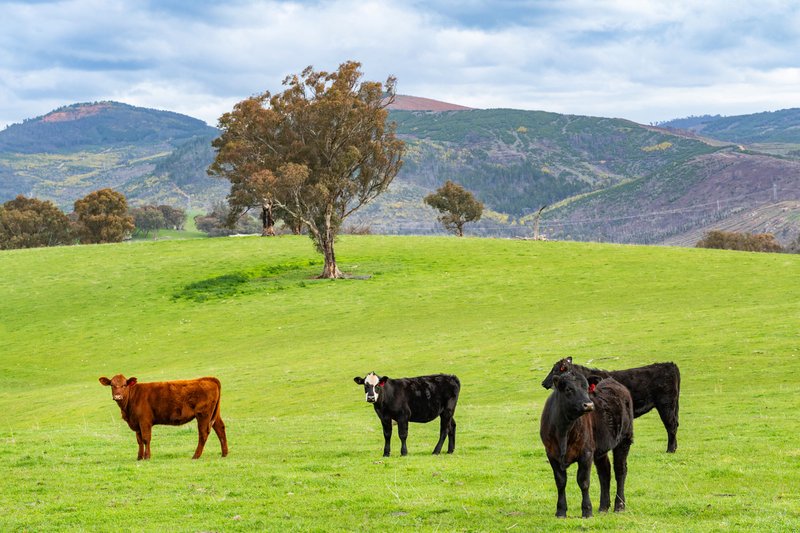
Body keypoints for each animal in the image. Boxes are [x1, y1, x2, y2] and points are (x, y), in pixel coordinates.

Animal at [99, 374, 228, 458]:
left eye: (125, 385)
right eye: (112, 385)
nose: (118, 396)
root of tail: (208, 378)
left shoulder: (144, 421)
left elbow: (146, 439)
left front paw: (147, 457)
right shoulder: (136, 423)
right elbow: (139, 440)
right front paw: (139, 457)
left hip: (203, 415)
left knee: (203, 433)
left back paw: (195, 456)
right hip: (214, 414)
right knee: (220, 429)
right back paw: (224, 453)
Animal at [540, 356, 680, 450]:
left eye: (555, 370)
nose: (543, 383)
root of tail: (670, 365)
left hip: (666, 405)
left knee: (671, 425)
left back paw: (670, 450)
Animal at [540, 372, 636, 516]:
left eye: (586, 388)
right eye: (568, 389)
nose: (589, 405)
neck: (563, 430)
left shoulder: (586, 453)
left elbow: (583, 481)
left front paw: (587, 510)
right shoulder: (551, 454)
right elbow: (560, 482)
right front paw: (561, 511)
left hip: (624, 440)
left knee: (620, 470)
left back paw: (619, 506)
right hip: (601, 450)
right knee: (604, 472)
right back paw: (603, 507)